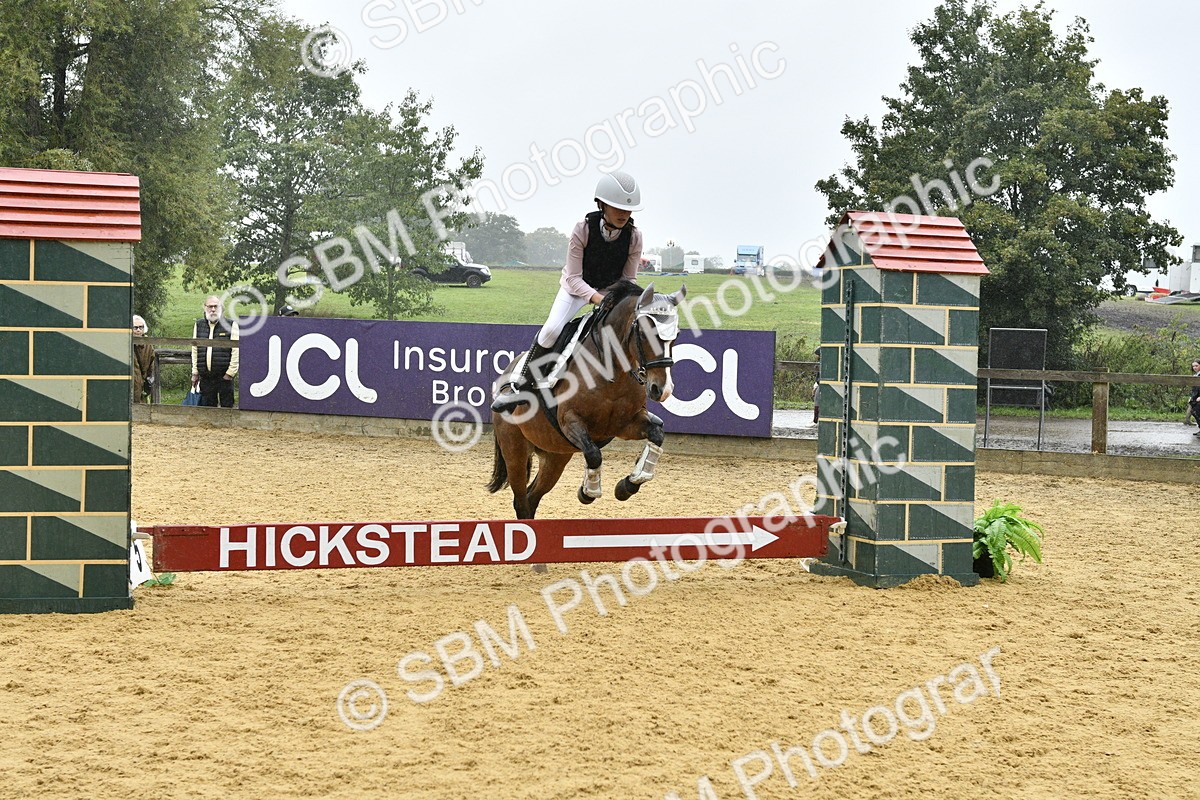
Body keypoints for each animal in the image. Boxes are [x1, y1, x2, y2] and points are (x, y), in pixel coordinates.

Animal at [487, 280, 686, 522]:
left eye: (676, 334)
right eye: (643, 331)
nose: (662, 389)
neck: (612, 372)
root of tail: (506, 374)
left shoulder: (626, 424)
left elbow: (656, 436)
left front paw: (628, 485)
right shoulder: (570, 421)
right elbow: (593, 454)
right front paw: (588, 492)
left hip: (556, 456)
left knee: (532, 497)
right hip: (515, 451)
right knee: (522, 502)